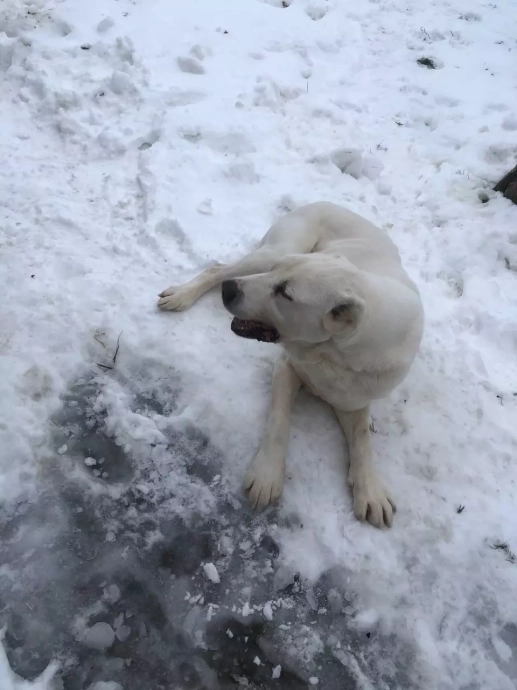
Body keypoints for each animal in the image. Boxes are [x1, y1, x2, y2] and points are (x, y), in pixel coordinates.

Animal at [158, 202, 424, 524]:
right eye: (276, 274)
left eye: (285, 292)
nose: (229, 290)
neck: (331, 354)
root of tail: (325, 202)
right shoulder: (287, 366)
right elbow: (279, 419)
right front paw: (267, 474)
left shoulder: (355, 399)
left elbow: (362, 440)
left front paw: (369, 488)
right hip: (275, 250)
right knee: (218, 268)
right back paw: (182, 294)